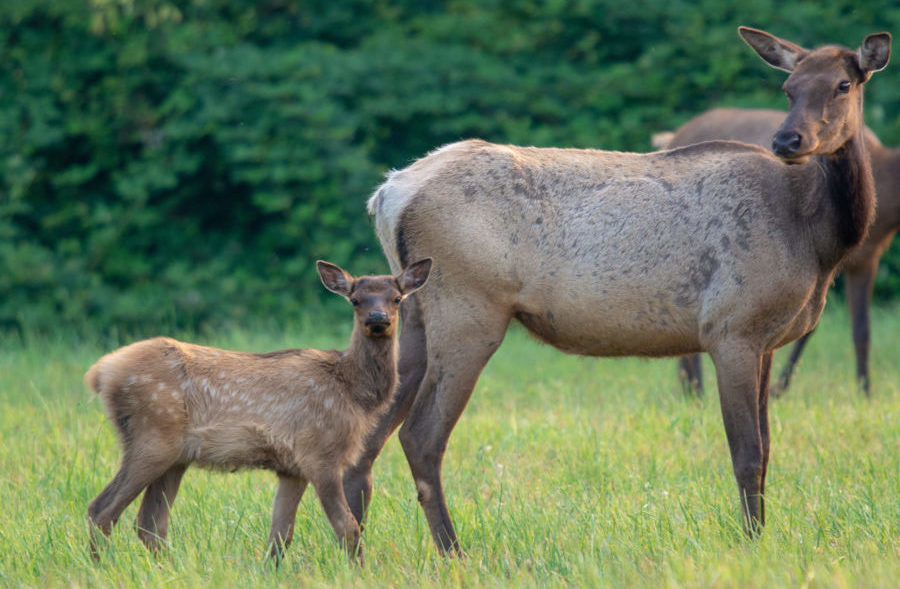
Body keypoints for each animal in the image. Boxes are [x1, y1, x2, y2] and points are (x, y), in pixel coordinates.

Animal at [84, 258, 432, 564]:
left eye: (396, 298)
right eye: (356, 300)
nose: (377, 318)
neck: (354, 392)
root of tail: (100, 373)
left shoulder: (292, 468)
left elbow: (280, 536)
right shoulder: (320, 453)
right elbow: (347, 527)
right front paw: (359, 572)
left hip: (175, 457)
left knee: (150, 523)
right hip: (152, 436)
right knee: (102, 509)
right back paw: (100, 567)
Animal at [664, 108, 900, 398]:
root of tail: (672, 136)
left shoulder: (866, 257)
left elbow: (861, 329)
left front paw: (865, 391)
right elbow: (810, 330)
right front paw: (780, 386)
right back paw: (694, 391)